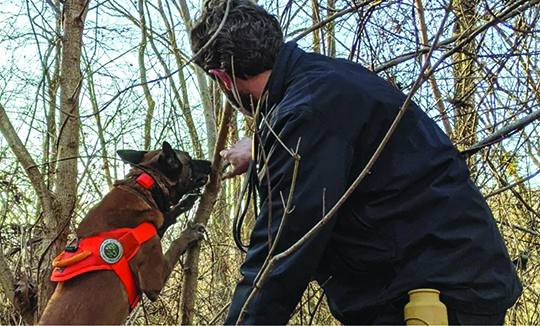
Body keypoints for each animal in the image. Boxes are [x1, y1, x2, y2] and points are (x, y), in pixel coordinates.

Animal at [38, 141, 210, 324]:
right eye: (189, 160)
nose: (210, 163)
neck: (144, 186)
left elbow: (167, 216)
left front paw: (184, 203)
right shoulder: (153, 280)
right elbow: (175, 244)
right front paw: (189, 234)